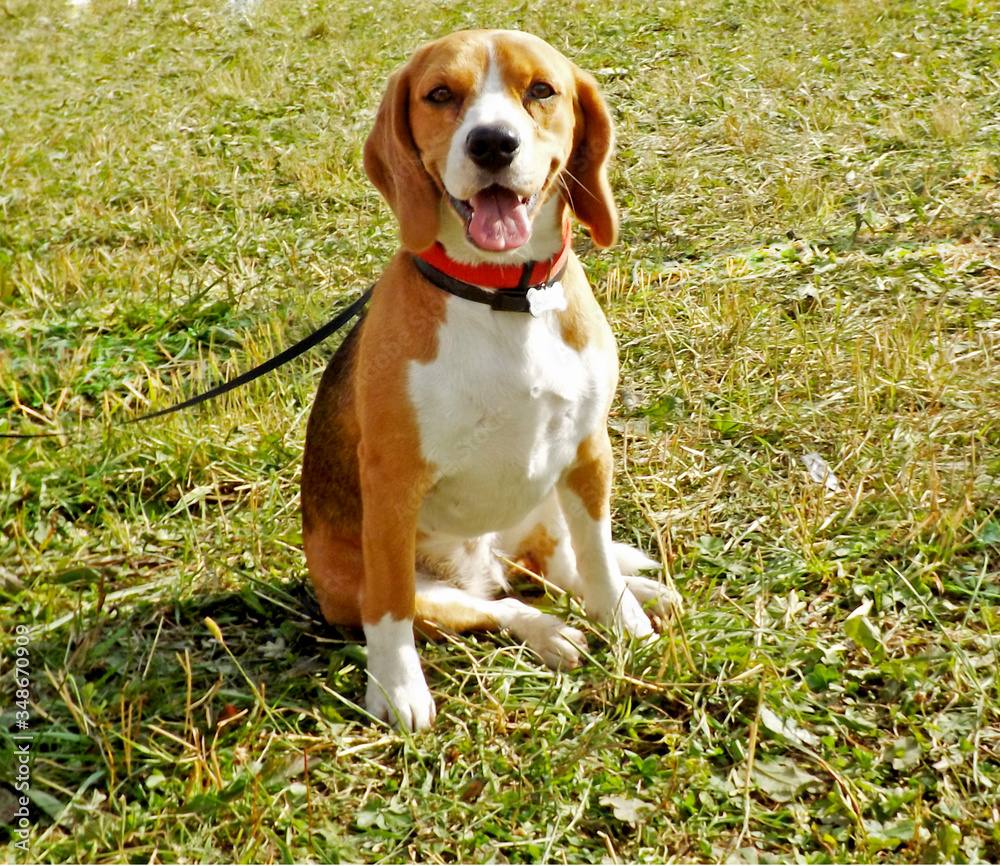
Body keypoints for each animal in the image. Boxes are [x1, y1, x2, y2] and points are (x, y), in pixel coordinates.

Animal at [302, 28, 680, 728]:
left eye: (542, 90)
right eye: (439, 94)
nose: (493, 143)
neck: (506, 295)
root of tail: (490, 561)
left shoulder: (589, 450)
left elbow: (595, 556)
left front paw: (625, 620)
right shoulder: (392, 483)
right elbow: (390, 610)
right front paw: (397, 689)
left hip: (548, 500)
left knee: (561, 565)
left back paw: (631, 587)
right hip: (397, 590)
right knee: (498, 605)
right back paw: (550, 632)